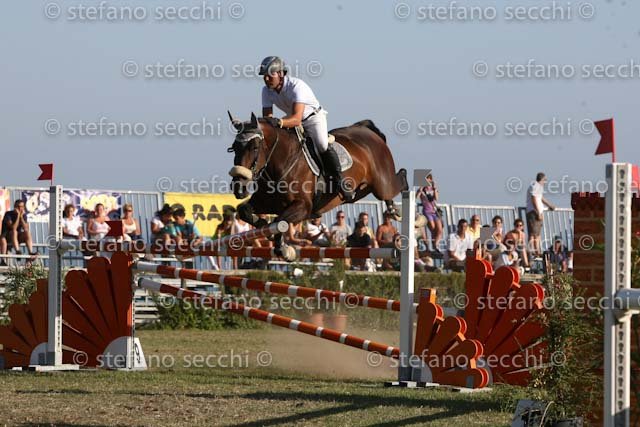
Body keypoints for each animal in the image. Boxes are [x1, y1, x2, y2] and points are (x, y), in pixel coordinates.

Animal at [227, 112, 408, 258]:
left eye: (254, 147)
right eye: (234, 148)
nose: (239, 187)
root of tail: (366, 130)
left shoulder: (303, 207)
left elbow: (279, 222)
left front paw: (284, 249)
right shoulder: (267, 203)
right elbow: (245, 210)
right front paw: (264, 227)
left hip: (381, 185)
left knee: (399, 179)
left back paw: (399, 208)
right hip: (361, 191)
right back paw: (392, 209)